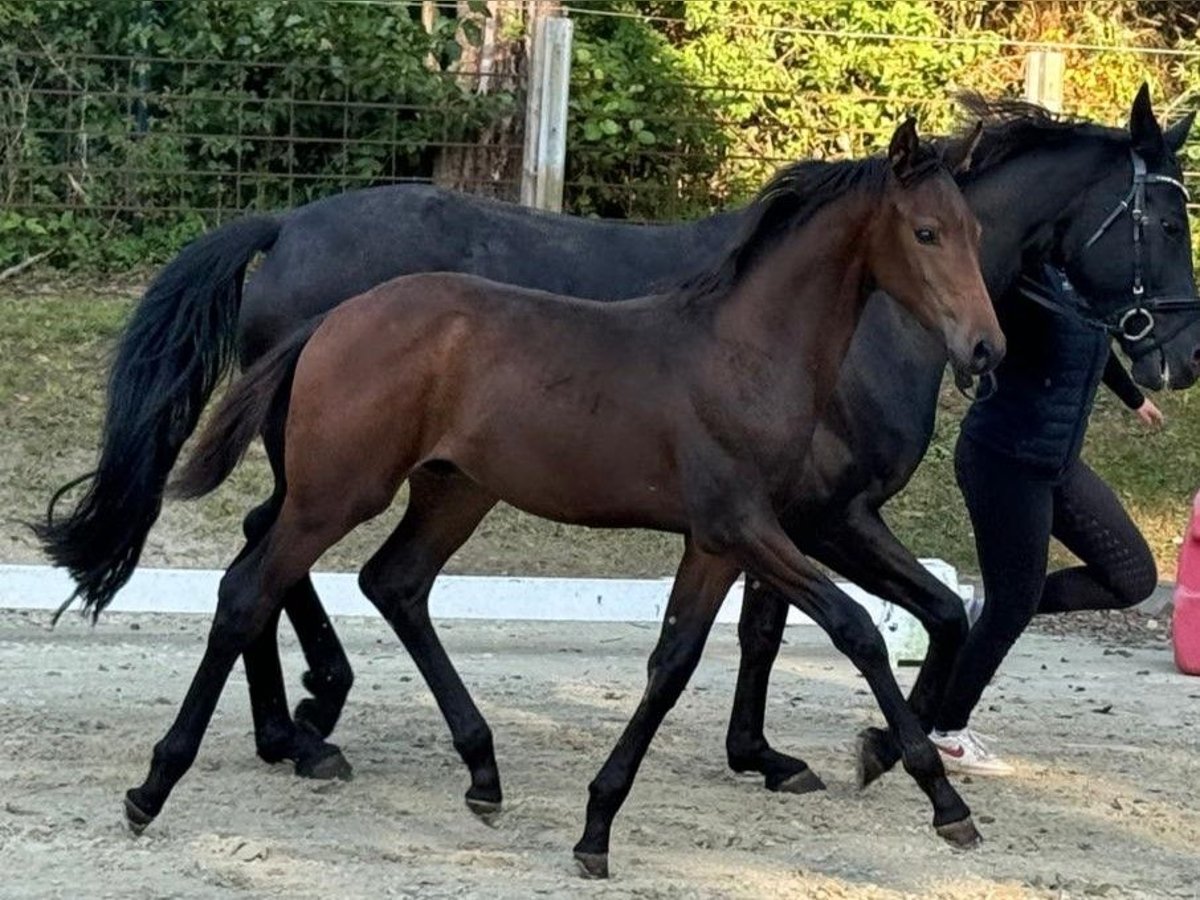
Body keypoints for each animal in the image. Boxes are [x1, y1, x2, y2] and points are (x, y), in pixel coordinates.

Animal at [37, 88, 1200, 801]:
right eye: (1161, 219)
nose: (1178, 355)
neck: (861, 319)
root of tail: (288, 224)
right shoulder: (830, 516)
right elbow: (925, 617)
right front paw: (882, 747)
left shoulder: (770, 517)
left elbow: (773, 631)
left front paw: (774, 754)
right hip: (345, 466)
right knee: (268, 556)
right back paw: (306, 720)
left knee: (282, 557)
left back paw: (299, 728)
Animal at [129, 120, 1003, 883]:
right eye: (926, 232)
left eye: (976, 232)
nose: (985, 348)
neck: (743, 353)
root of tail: (331, 319)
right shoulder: (758, 526)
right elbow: (858, 632)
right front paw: (937, 795)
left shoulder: (720, 541)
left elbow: (674, 662)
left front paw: (597, 826)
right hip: (335, 491)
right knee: (248, 590)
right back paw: (165, 782)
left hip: (452, 491)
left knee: (392, 582)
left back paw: (478, 769)